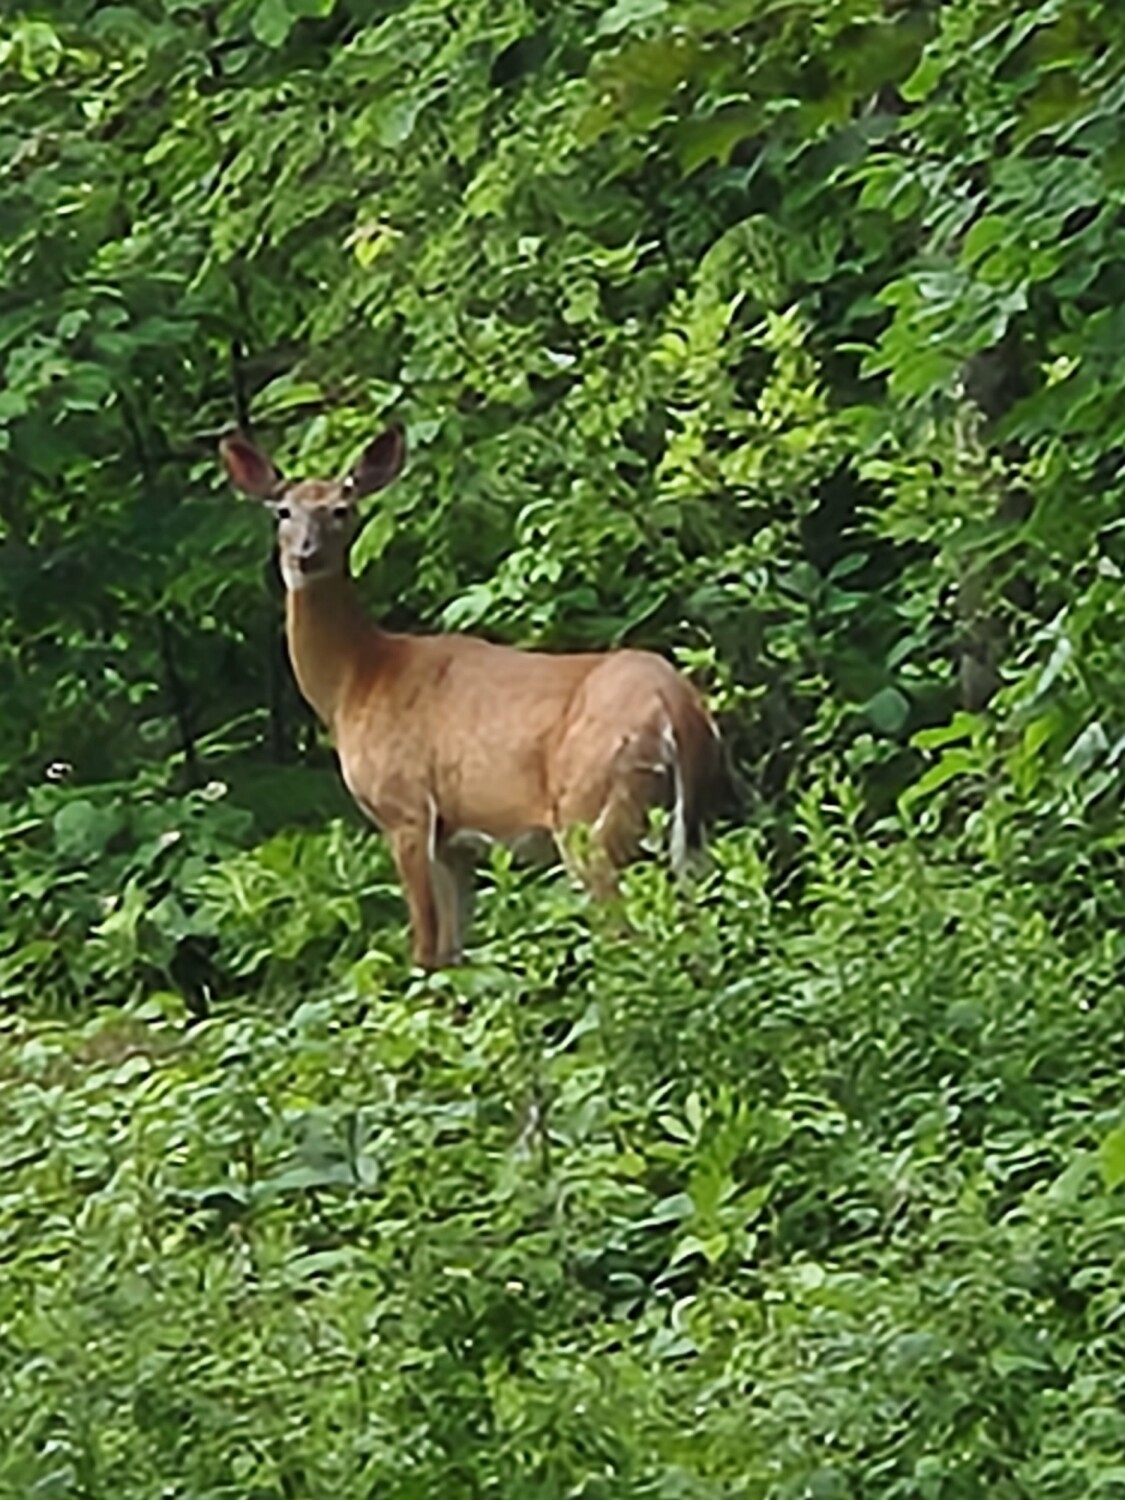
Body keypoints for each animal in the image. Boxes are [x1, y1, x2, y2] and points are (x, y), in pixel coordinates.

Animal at [220, 424, 723, 969]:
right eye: (282, 511)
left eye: (342, 509)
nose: (305, 555)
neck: (354, 682)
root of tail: (675, 705)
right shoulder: (454, 839)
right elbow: (453, 952)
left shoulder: (407, 809)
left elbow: (425, 950)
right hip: (691, 824)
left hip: (591, 809)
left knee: (627, 934)